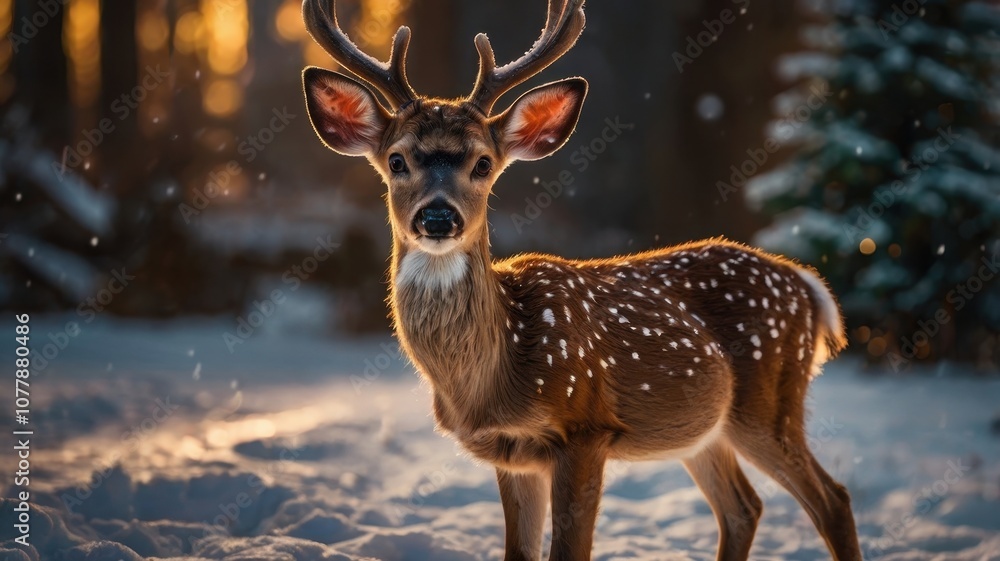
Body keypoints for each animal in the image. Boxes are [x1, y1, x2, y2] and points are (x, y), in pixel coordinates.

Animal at [300, 0, 862, 559]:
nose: (438, 217)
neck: (494, 374)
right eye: (397, 161)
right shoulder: (511, 454)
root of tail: (807, 284)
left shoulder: (586, 430)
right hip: (703, 429)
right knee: (744, 507)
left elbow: (569, 550)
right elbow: (519, 552)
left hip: (768, 403)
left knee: (831, 498)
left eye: (483, 163)